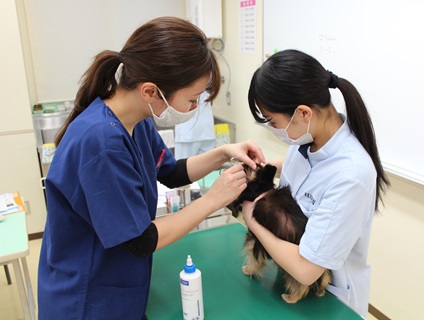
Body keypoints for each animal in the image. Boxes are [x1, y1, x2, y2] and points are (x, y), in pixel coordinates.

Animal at [235, 164, 332, 304]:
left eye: (252, 166)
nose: (243, 164)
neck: (262, 187)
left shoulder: (256, 240)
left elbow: (254, 259)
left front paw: (249, 270)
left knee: (302, 285)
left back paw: (291, 298)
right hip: (323, 274)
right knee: (324, 279)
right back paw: (320, 291)